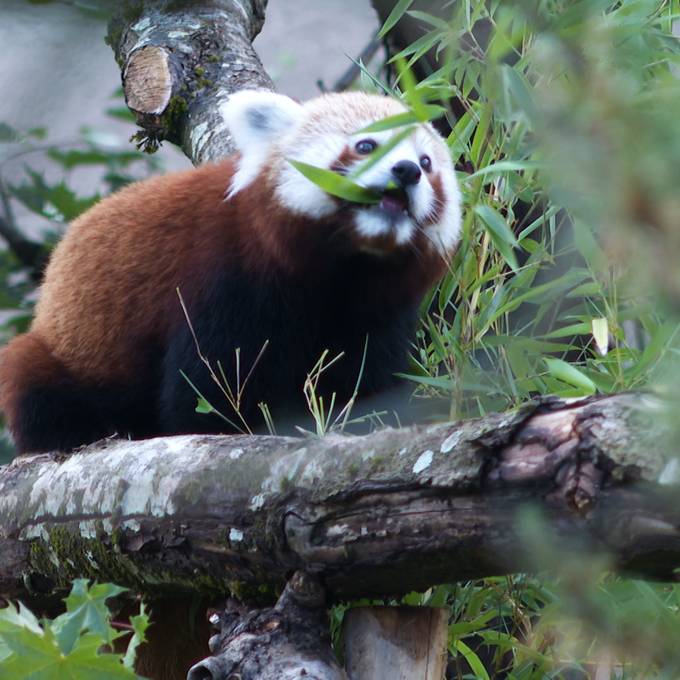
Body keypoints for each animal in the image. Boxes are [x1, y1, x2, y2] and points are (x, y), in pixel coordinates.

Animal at [0, 90, 462, 452]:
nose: (407, 171)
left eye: (426, 162)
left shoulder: (378, 315)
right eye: (366, 146)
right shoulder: (227, 277)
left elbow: (364, 380)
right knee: (36, 385)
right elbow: (206, 388)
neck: (349, 264)